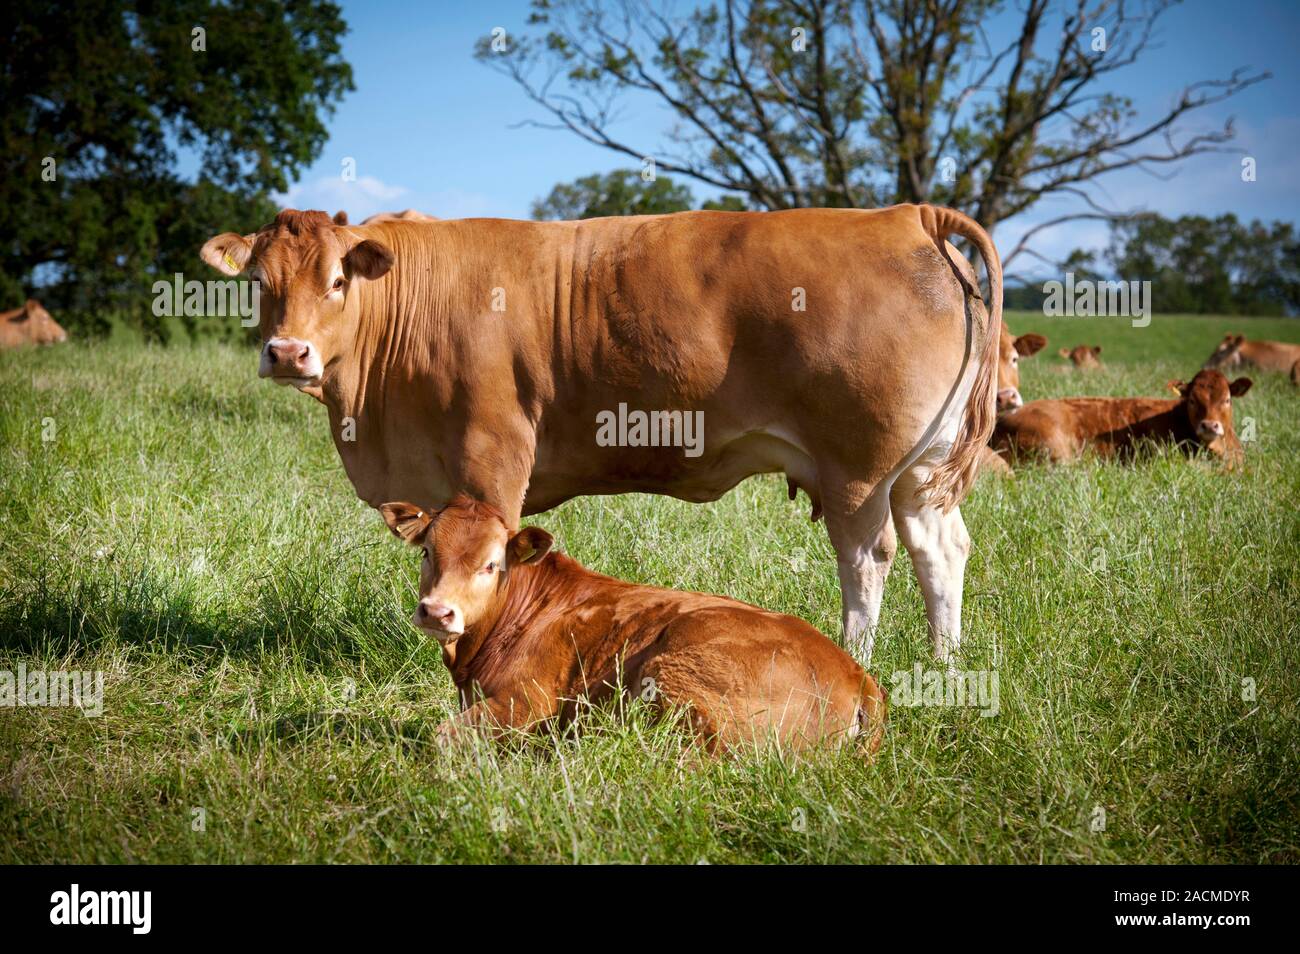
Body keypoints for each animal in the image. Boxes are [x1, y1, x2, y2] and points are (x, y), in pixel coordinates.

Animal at [201, 203, 1003, 664]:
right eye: (260, 283)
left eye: (338, 281)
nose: (288, 353)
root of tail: (907, 213)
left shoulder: (492, 456)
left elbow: (491, 549)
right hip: (919, 473)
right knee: (940, 551)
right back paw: (944, 661)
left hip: (858, 470)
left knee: (869, 560)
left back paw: (857, 655)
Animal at [379, 495, 887, 754]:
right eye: (427, 553)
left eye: (490, 565)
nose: (437, 611)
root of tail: (859, 676)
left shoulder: (527, 699)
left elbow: (443, 735)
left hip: (672, 675)